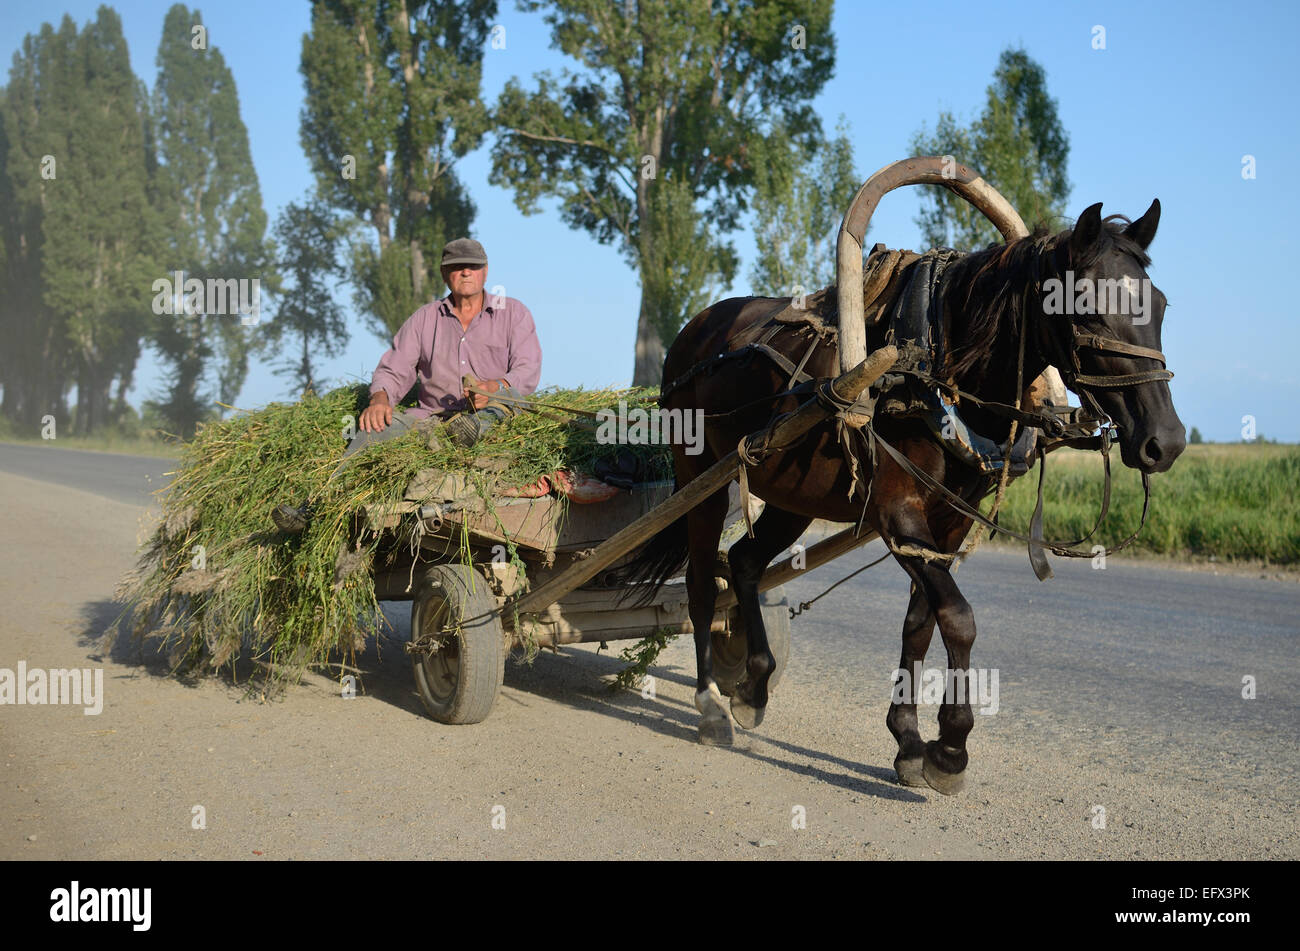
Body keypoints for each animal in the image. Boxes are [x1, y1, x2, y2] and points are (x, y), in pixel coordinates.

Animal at [624, 193, 1185, 795]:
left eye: (1159, 306)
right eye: (1086, 309)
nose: (1166, 442)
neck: (935, 365)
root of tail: (697, 328)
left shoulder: (949, 520)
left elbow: (921, 622)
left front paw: (910, 740)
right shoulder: (897, 512)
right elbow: (958, 617)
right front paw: (951, 749)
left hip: (792, 494)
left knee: (746, 561)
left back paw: (753, 686)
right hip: (698, 475)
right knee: (703, 584)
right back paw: (709, 703)